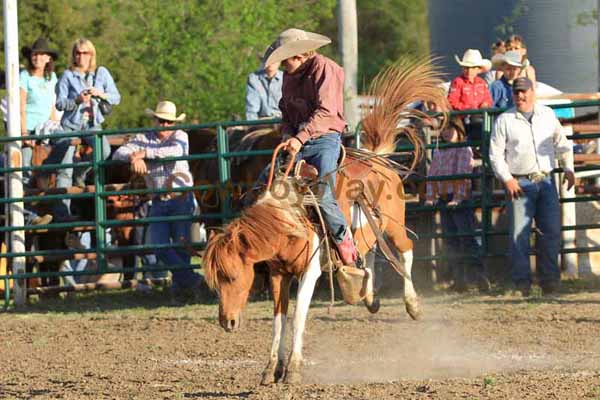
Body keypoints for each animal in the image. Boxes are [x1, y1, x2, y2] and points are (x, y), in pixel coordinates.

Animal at [203, 59, 450, 384]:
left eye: (231, 276)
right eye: (215, 281)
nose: (227, 323)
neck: (288, 223)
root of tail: (376, 157)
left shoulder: (309, 272)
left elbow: (297, 318)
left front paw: (293, 369)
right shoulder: (278, 274)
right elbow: (279, 321)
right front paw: (271, 369)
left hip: (395, 225)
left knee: (405, 252)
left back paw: (413, 305)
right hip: (366, 230)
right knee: (368, 252)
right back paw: (368, 295)